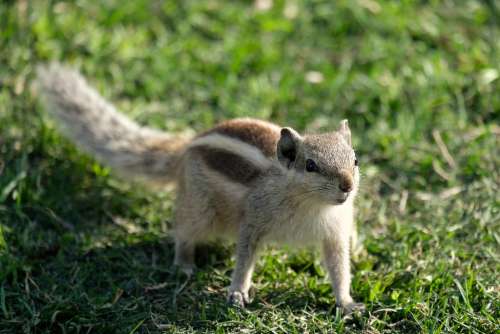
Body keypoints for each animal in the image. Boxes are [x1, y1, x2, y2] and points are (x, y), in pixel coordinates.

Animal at [35, 64, 364, 314]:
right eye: (310, 165)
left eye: (355, 159)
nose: (347, 185)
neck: (312, 204)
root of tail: (186, 148)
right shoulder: (255, 219)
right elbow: (245, 256)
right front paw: (237, 292)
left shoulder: (336, 231)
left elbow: (338, 266)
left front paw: (347, 303)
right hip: (200, 209)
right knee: (183, 231)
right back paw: (184, 264)